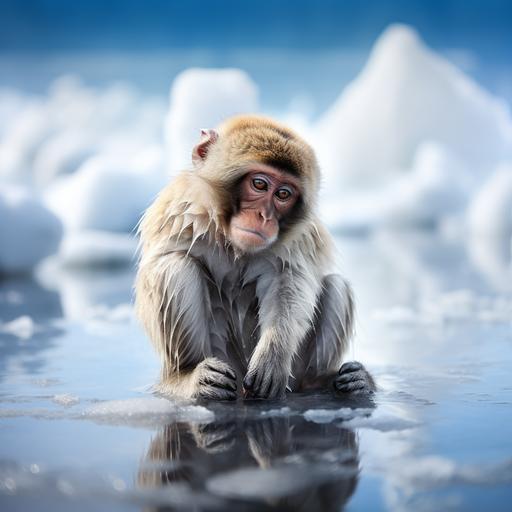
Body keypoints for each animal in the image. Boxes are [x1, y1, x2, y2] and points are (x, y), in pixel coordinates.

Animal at [135, 116, 376, 400]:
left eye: (283, 194)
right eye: (259, 184)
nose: (264, 216)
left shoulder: (300, 237)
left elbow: (290, 279)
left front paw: (272, 354)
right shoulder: (180, 211)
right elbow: (161, 262)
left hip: (290, 374)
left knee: (337, 286)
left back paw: (329, 382)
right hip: (223, 359)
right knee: (175, 266)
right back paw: (186, 376)